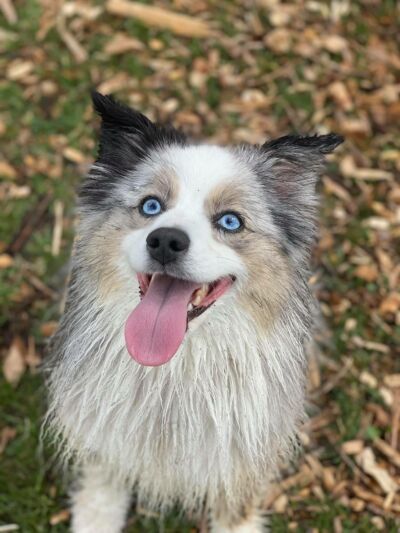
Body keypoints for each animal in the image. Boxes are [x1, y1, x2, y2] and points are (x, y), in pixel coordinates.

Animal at [45, 93, 342, 528]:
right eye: (151, 206)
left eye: (230, 221)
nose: (165, 241)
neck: (174, 370)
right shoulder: (103, 417)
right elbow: (105, 469)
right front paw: (97, 518)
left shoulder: (244, 447)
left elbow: (236, 502)